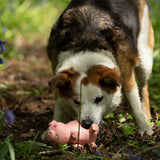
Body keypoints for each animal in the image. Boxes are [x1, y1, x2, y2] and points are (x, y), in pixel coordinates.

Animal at [47, 0, 154, 136]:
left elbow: (134, 103)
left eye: (99, 99)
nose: (87, 124)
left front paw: (144, 128)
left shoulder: (126, 75)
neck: (86, 43)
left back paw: (146, 115)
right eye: (76, 101)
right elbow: (59, 106)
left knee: (144, 86)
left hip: (144, 54)